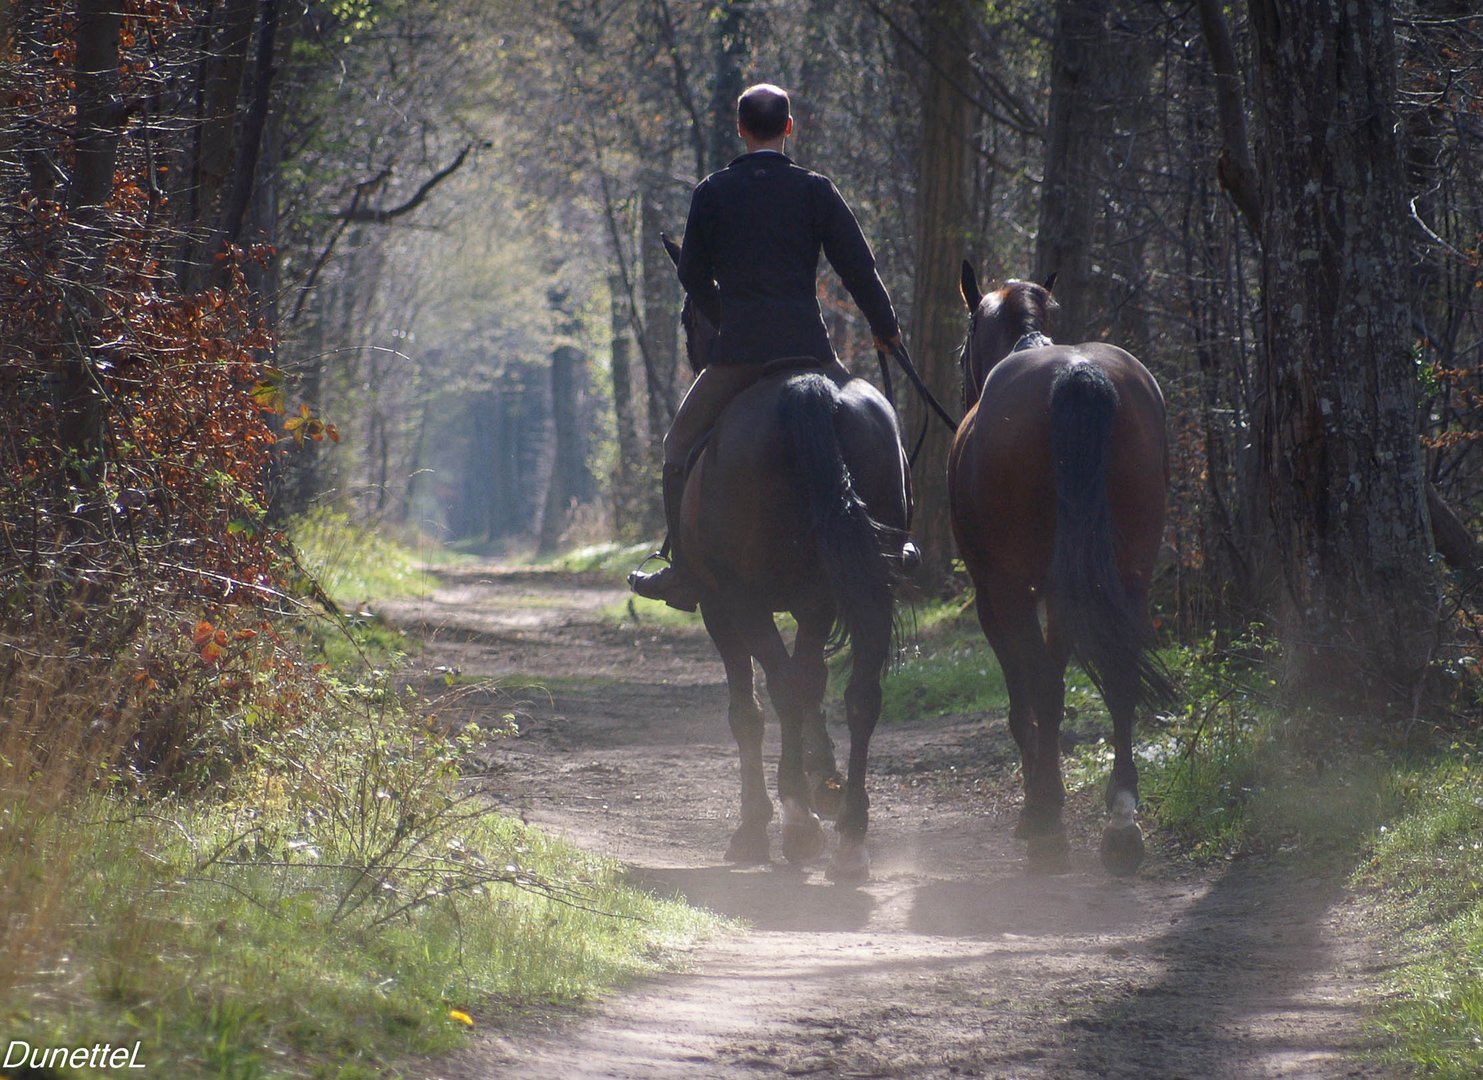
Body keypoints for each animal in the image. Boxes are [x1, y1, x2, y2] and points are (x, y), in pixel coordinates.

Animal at [664, 234, 913, 878]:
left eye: (688, 316)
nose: (696, 353)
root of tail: (809, 391)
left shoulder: (720, 608)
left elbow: (750, 708)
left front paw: (759, 822)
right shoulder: (814, 603)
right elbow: (812, 683)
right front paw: (820, 787)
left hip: (743, 600)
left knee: (778, 688)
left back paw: (798, 823)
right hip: (849, 589)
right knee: (858, 695)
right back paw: (848, 834)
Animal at [949, 264, 1168, 878]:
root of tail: (1078, 374)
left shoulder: (996, 593)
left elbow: (1028, 696)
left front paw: (1040, 797)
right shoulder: (1064, 588)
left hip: (1011, 587)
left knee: (1044, 685)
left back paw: (1046, 823)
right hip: (1127, 574)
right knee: (1120, 675)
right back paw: (1121, 821)